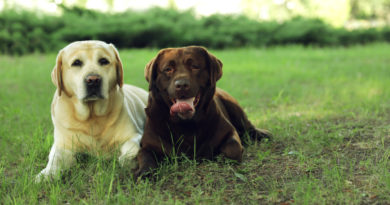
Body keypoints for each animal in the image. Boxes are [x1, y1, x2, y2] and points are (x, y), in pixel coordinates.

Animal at [36, 40, 148, 182]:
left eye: (104, 61)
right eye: (76, 62)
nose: (93, 80)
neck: (91, 116)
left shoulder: (135, 135)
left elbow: (130, 149)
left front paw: (129, 160)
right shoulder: (62, 145)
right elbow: (56, 158)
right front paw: (47, 173)